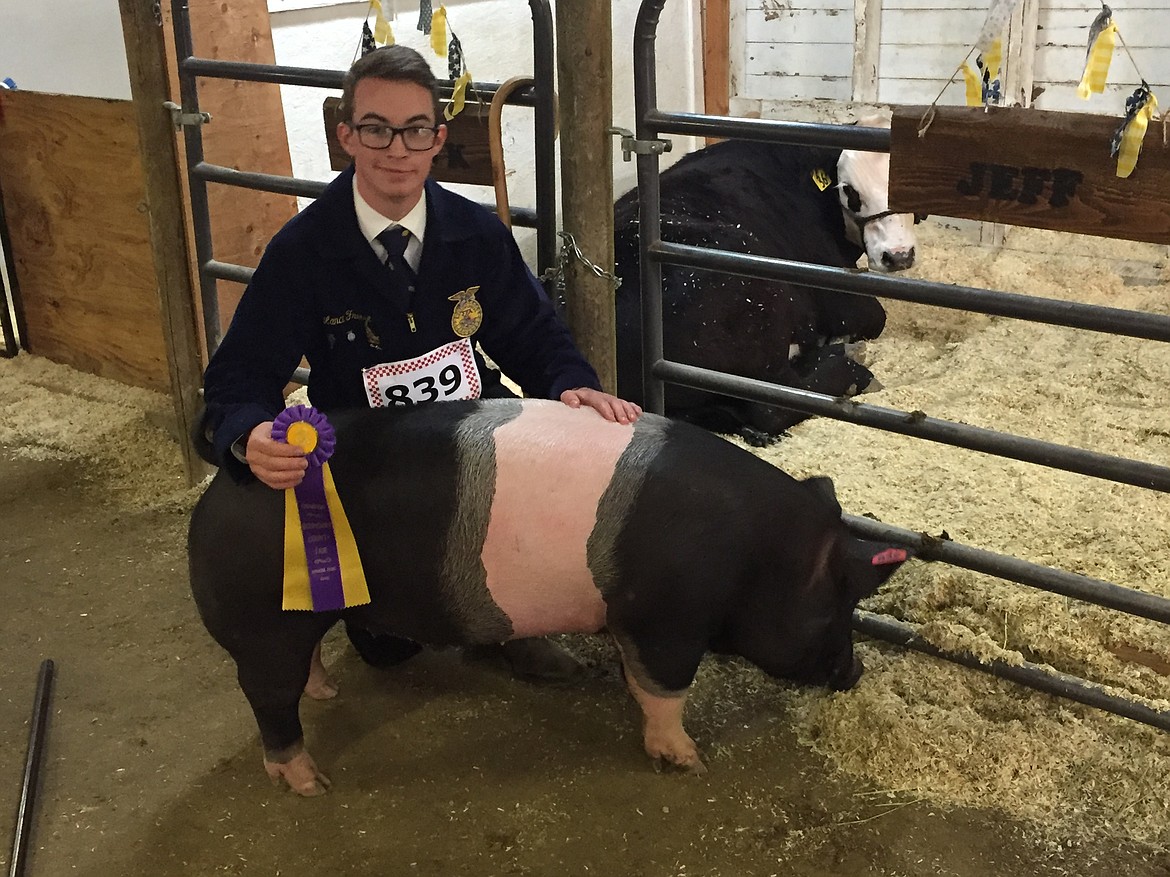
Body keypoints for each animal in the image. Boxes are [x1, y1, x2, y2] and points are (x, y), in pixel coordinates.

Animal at [187, 397, 907, 795]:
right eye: (837, 603)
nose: (855, 672)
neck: (759, 554)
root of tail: (213, 499)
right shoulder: (667, 620)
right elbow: (666, 690)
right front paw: (691, 762)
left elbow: (638, 680)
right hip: (261, 630)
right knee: (269, 701)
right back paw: (311, 784)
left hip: (301, 613)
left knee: (304, 666)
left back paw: (328, 693)